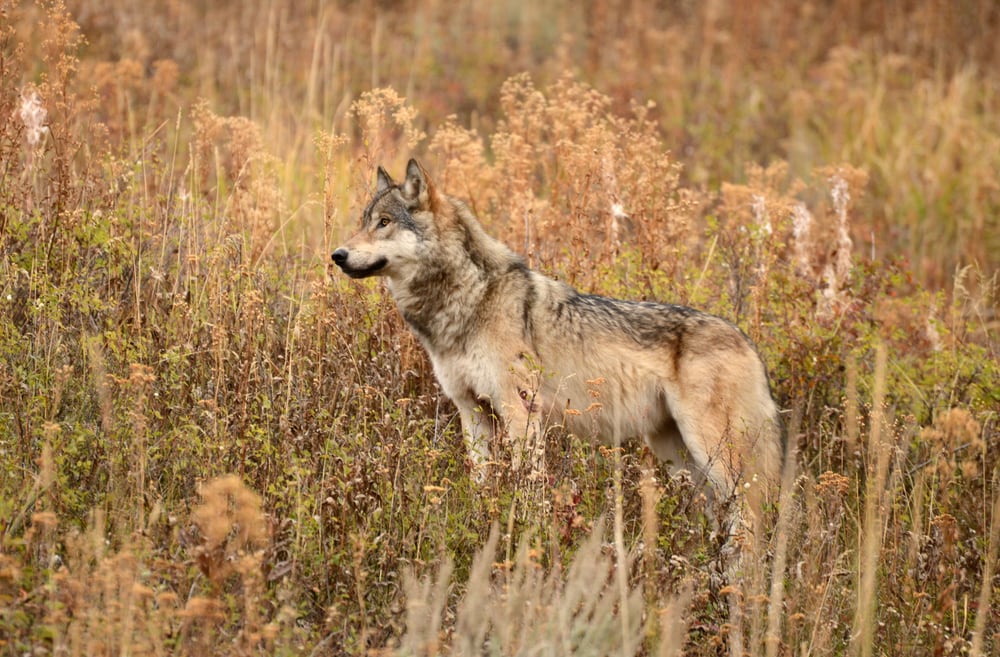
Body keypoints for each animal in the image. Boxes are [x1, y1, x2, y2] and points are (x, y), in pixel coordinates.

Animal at [332, 159, 783, 536]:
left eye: (385, 222)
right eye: (364, 222)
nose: (337, 254)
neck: (469, 299)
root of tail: (749, 344)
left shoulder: (520, 412)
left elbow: (527, 489)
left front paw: (524, 535)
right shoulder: (471, 412)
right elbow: (480, 484)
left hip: (716, 456)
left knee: (751, 520)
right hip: (678, 457)